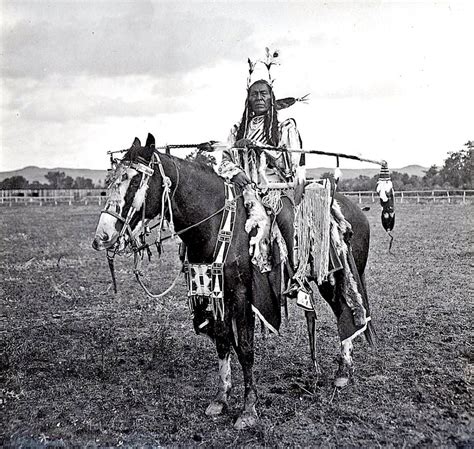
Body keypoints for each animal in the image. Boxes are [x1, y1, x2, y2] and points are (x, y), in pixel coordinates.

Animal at [91, 134, 374, 430]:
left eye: (135, 181)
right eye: (111, 181)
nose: (102, 237)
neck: (215, 223)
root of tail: (355, 211)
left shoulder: (242, 296)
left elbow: (246, 349)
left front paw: (249, 409)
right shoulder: (218, 296)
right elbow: (224, 342)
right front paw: (221, 397)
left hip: (334, 278)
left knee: (345, 309)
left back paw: (343, 371)